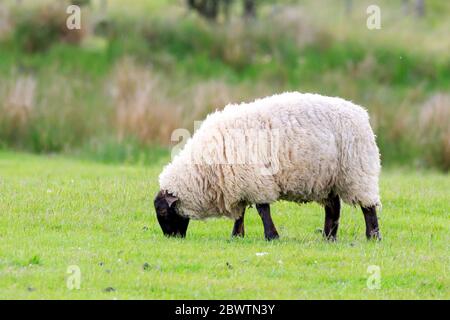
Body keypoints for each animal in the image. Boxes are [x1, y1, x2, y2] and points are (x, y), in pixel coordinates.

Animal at [153, 92, 382, 240]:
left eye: (163, 212)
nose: (171, 238)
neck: (205, 171)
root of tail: (361, 113)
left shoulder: (256, 181)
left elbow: (262, 210)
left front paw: (271, 236)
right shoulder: (239, 184)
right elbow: (241, 212)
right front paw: (237, 236)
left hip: (357, 171)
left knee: (368, 206)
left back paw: (373, 236)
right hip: (327, 178)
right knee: (333, 208)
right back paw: (328, 237)